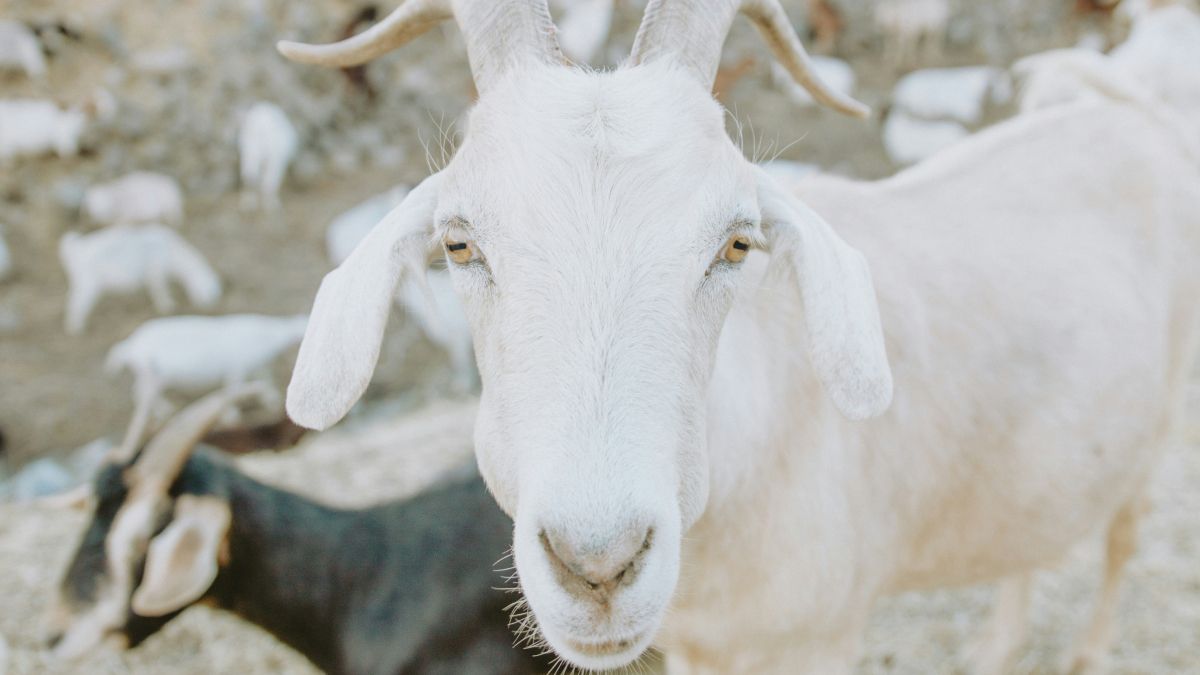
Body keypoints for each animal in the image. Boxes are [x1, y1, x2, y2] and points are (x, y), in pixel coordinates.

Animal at [59, 225, 221, 335]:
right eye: (208, 294)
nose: (210, 309)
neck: (173, 252)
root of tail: (74, 249)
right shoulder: (156, 272)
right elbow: (160, 291)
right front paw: (168, 306)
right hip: (89, 283)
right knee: (77, 303)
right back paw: (76, 328)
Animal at [279, 1, 1200, 673]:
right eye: (459, 243)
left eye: (736, 242)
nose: (598, 565)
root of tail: (1141, 116)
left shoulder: (815, 642)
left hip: (1160, 418)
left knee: (1124, 531)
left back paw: (1087, 652)